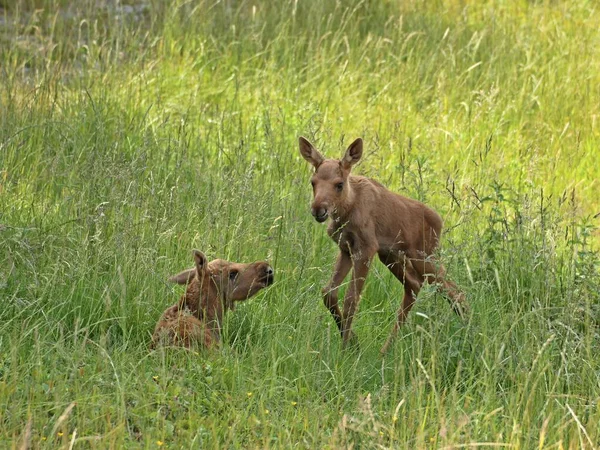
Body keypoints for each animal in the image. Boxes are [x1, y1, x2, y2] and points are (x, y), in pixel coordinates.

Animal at [300, 135, 468, 354]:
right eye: (313, 182)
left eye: (339, 184)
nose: (318, 210)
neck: (347, 210)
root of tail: (440, 221)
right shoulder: (346, 249)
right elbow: (328, 292)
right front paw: (353, 340)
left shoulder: (366, 248)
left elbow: (351, 299)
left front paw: (345, 348)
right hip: (391, 255)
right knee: (414, 285)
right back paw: (386, 350)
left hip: (424, 255)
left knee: (455, 291)